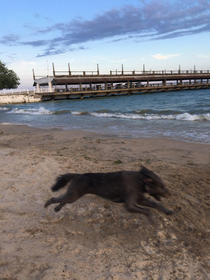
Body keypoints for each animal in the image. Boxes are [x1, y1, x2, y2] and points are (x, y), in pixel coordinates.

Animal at [44, 165, 176, 220]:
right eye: (162, 186)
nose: (170, 193)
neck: (140, 182)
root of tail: (78, 175)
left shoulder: (140, 199)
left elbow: (156, 205)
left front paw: (168, 212)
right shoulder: (129, 205)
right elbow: (147, 211)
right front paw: (151, 220)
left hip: (73, 195)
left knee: (62, 199)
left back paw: (57, 208)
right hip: (74, 195)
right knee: (56, 199)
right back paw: (47, 204)